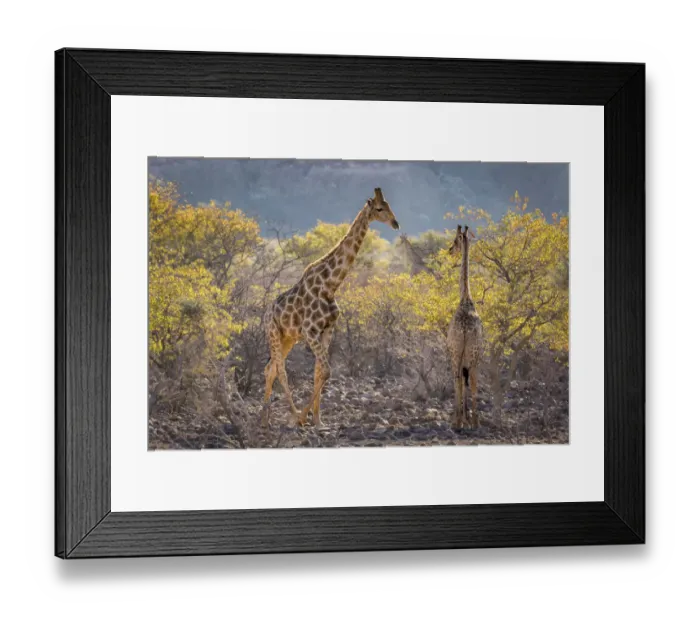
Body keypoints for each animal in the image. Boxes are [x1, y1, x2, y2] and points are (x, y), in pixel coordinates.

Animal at [261, 188, 400, 428]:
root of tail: (268, 311)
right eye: (379, 208)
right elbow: (326, 370)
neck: (330, 285)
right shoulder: (310, 331)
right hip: (274, 333)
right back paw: (292, 416)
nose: (395, 223)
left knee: (270, 369)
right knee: (280, 370)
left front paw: (318, 420)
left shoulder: (327, 330)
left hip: (288, 337)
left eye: (389, 205)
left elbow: (319, 372)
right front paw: (304, 417)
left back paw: (263, 418)